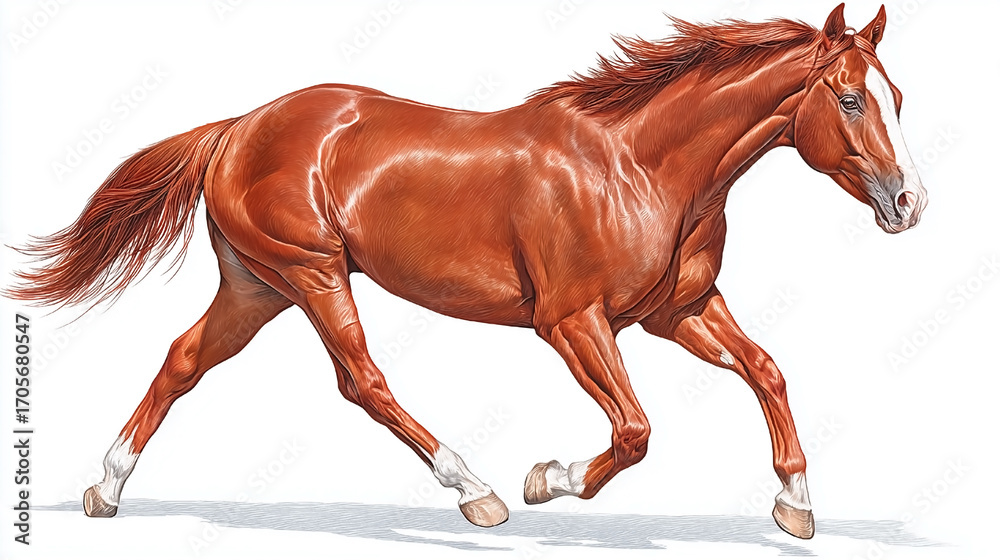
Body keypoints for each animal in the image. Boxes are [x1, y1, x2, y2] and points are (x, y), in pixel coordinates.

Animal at [7, 4, 926, 539]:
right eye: (850, 99)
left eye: (898, 97)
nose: (909, 204)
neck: (638, 165)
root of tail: (237, 126)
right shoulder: (572, 321)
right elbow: (635, 429)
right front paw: (546, 480)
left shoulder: (682, 309)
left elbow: (767, 371)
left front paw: (796, 506)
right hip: (313, 275)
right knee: (362, 381)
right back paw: (476, 491)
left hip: (257, 286)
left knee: (183, 360)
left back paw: (106, 489)